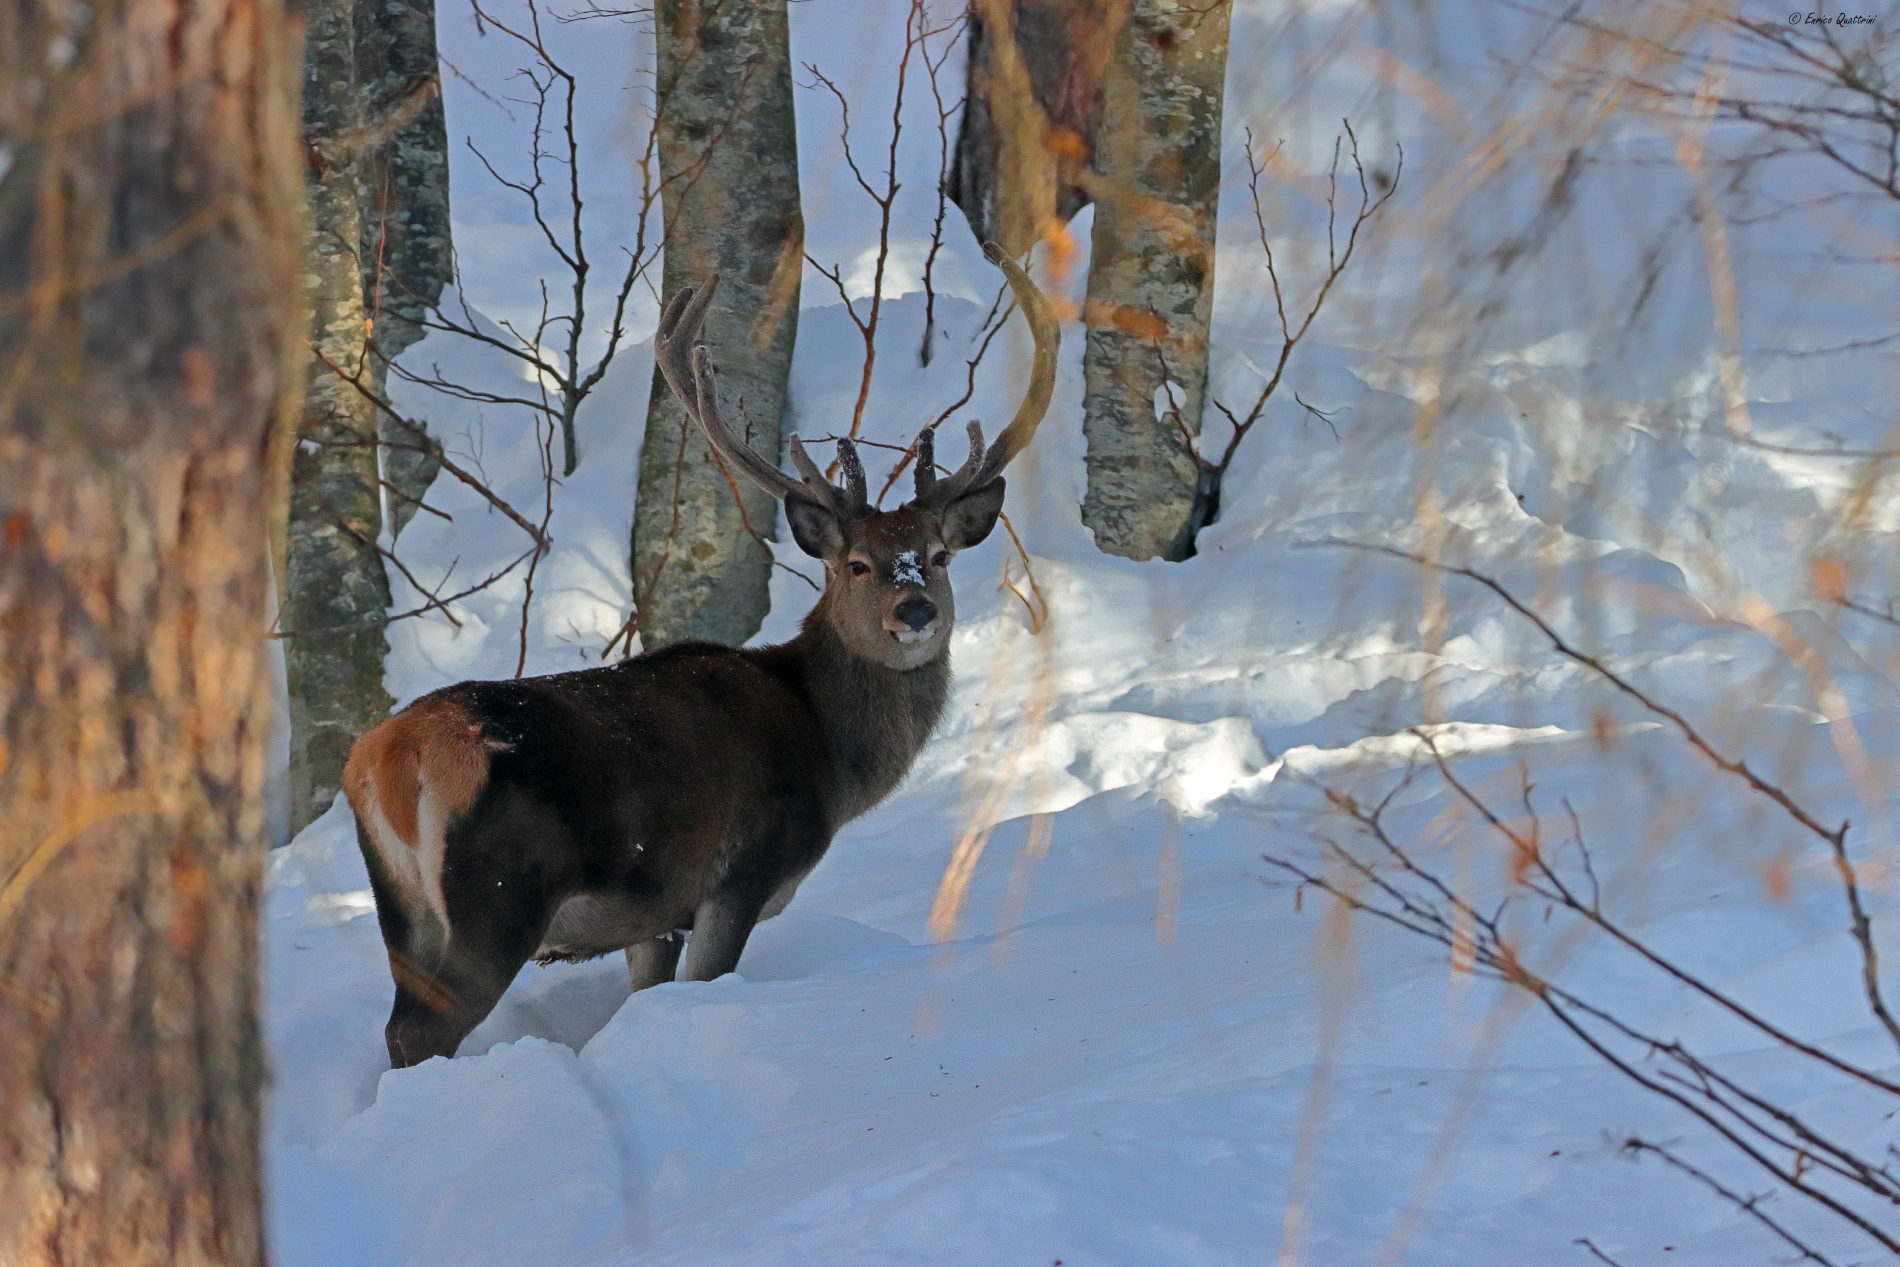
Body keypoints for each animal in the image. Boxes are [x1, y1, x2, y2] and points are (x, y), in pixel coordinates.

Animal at [343, 244, 1058, 1067]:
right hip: (497, 894)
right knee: (419, 1030)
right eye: (856, 564)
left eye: (937, 556)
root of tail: (388, 760)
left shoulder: (654, 913)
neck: (830, 756)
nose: (915, 610)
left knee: (396, 1023)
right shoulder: (739, 873)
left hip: (402, 906)